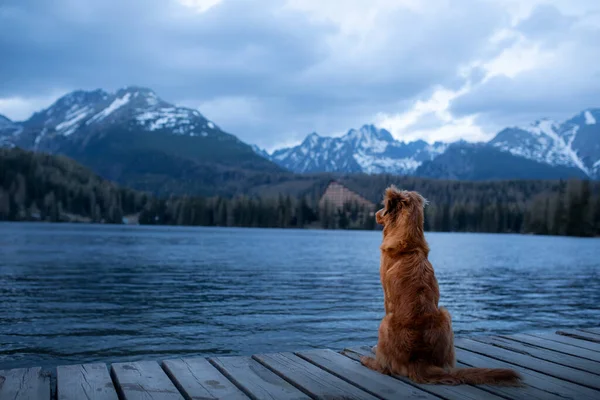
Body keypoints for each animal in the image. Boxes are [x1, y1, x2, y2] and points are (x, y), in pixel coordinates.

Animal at [358, 186, 524, 386]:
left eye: (384, 208)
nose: (375, 213)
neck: (408, 241)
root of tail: (419, 360)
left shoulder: (386, 296)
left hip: (385, 322)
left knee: (385, 368)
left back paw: (368, 359)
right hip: (446, 314)